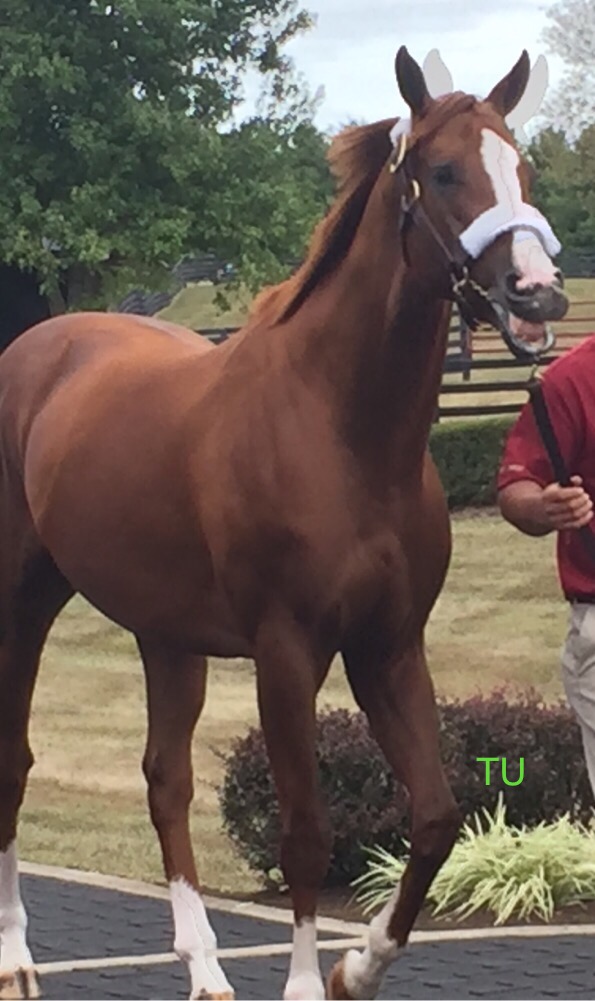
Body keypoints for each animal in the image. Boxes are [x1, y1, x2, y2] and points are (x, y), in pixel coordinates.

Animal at [0, 45, 564, 1001]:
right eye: (445, 171)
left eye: (520, 167)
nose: (536, 294)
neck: (339, 428)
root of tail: (38, 346)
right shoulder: (287, 649)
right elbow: (305, 829)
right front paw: (307, 980)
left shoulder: (388, 645)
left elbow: (435, 818)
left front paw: (355, 966)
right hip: (22, 603)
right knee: (15, 760)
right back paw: (15, 959)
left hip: (166, 633)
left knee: (166, 780)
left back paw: (204, 967)